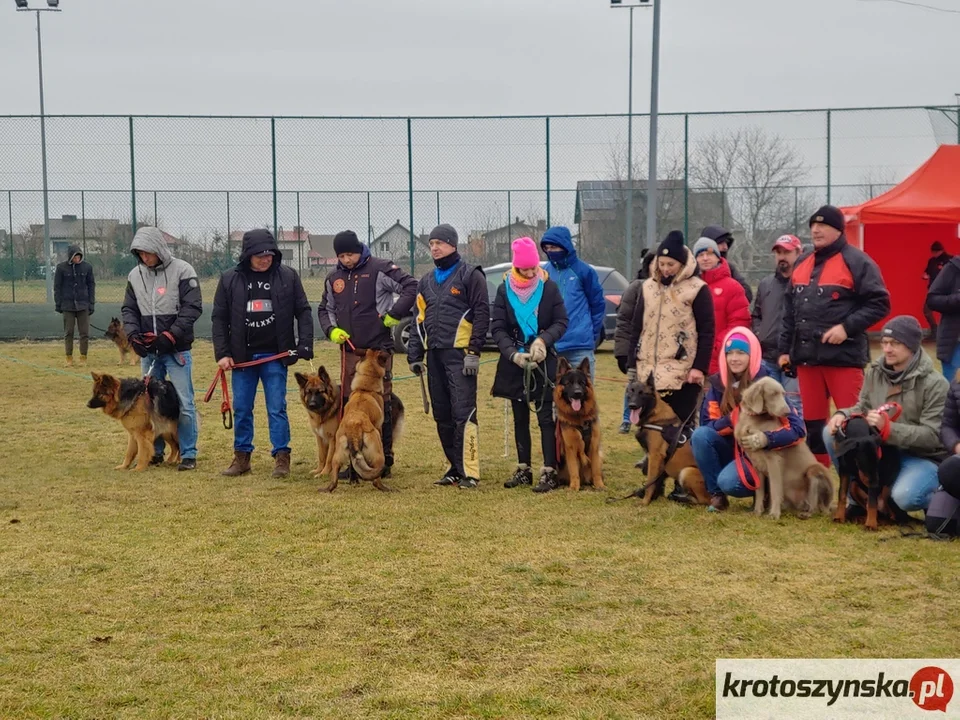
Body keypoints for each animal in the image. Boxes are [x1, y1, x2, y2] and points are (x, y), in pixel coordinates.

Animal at [322, 350, 390, 496]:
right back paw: (385, 487)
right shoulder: (379, 428)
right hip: (378, 452)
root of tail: (354, 426)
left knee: (334, 478)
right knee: (376, 479)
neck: (364, 389)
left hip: (337, 455)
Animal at [552, 358, 604, 492]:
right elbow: (574, 470)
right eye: (569, 383)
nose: (577, 393)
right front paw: (574, 487)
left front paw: (599, 485)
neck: (580, 419)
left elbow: (596, 470)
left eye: (581, 383)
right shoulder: (571, 448)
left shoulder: (594, 447)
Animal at [628, 374, 708, 504]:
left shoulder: (655, 456)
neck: (654, 416)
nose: (632, 405)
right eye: (631, 391)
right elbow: (656, 480)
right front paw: (653, 497)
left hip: (687, 472)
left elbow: (650, 482)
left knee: (704, 501)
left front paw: (645, 501)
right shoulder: (657, 460)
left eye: (642, 393)